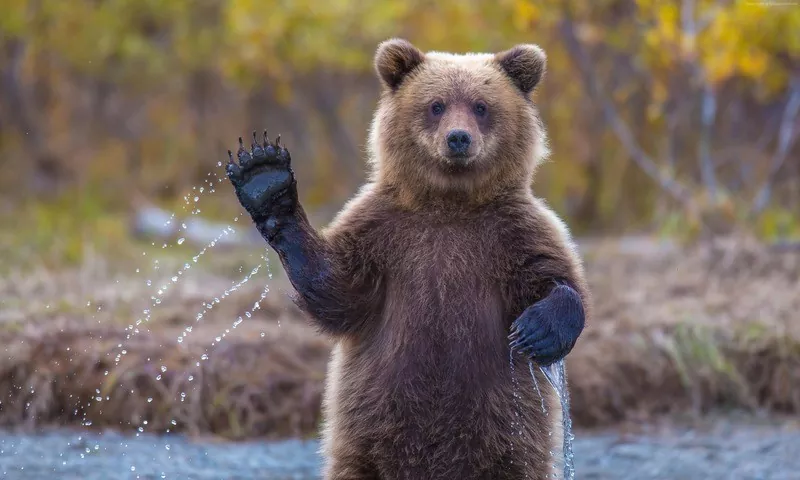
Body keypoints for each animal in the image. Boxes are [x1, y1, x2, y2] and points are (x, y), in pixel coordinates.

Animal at [225, 38, 591, 480]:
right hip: (366, 436)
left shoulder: (512, 232)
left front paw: (537, 330)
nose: (458, 138)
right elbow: (338, 290)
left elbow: (554, 276)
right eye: (436, 104)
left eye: (481, 105)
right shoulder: (383, 232)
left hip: (508, 438)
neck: (449, 202)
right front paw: (265, 177)